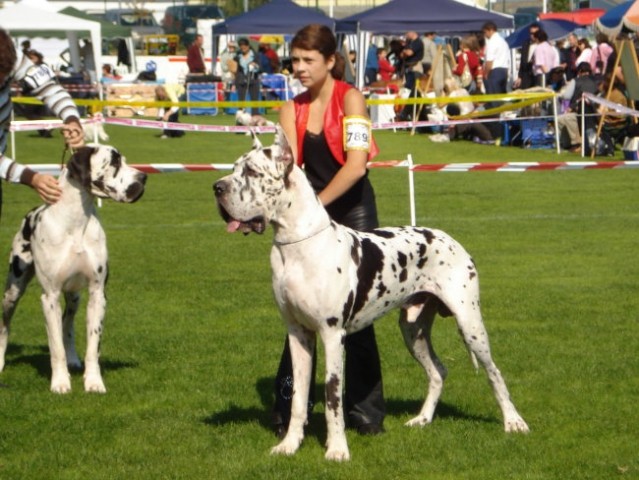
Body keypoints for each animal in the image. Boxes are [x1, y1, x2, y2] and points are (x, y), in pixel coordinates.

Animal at [0, 145, 146, 394]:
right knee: (5, 325)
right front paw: (60, 383)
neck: (76, 220)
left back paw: (73, 358)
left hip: (75, 296)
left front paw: (94, 382)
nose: (144, 177)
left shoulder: (97, 294)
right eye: (114, 163)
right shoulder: (49, 296)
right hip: (13, 290)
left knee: (67, 325)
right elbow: (55, 347)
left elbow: (93, 346)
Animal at [215, 127, 528, 462]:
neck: (297, 246)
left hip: (470, 323)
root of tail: (450, 238)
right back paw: (422, 419)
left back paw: (514, 422)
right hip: (412, 329)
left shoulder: (332, 335)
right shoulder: (298, 334)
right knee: (438, 371)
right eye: (234, 167)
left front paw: (337, 449)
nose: (216, 187)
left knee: (494, 373)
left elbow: (332, 397)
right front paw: (289, 444)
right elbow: (298, 397)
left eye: (251, 171)